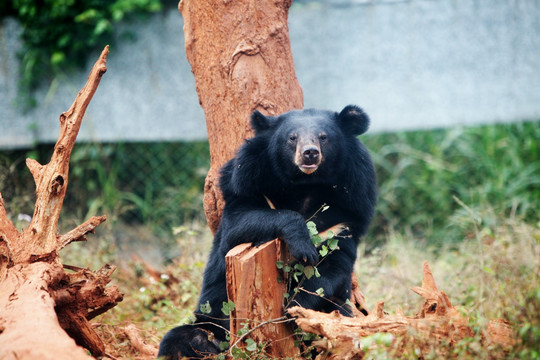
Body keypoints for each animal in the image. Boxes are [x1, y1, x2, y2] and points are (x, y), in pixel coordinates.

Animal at [158, 105, 378, 358]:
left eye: (324, 137)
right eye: (292, 138)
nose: (310, 154)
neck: (305, 185)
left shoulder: (348, 210)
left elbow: (334, 264)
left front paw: (295, 306)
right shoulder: (246, 182)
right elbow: (240, 224)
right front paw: (303, 246)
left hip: (337, 315)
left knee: (338, 323)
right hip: (211, 318)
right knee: (183, 339)